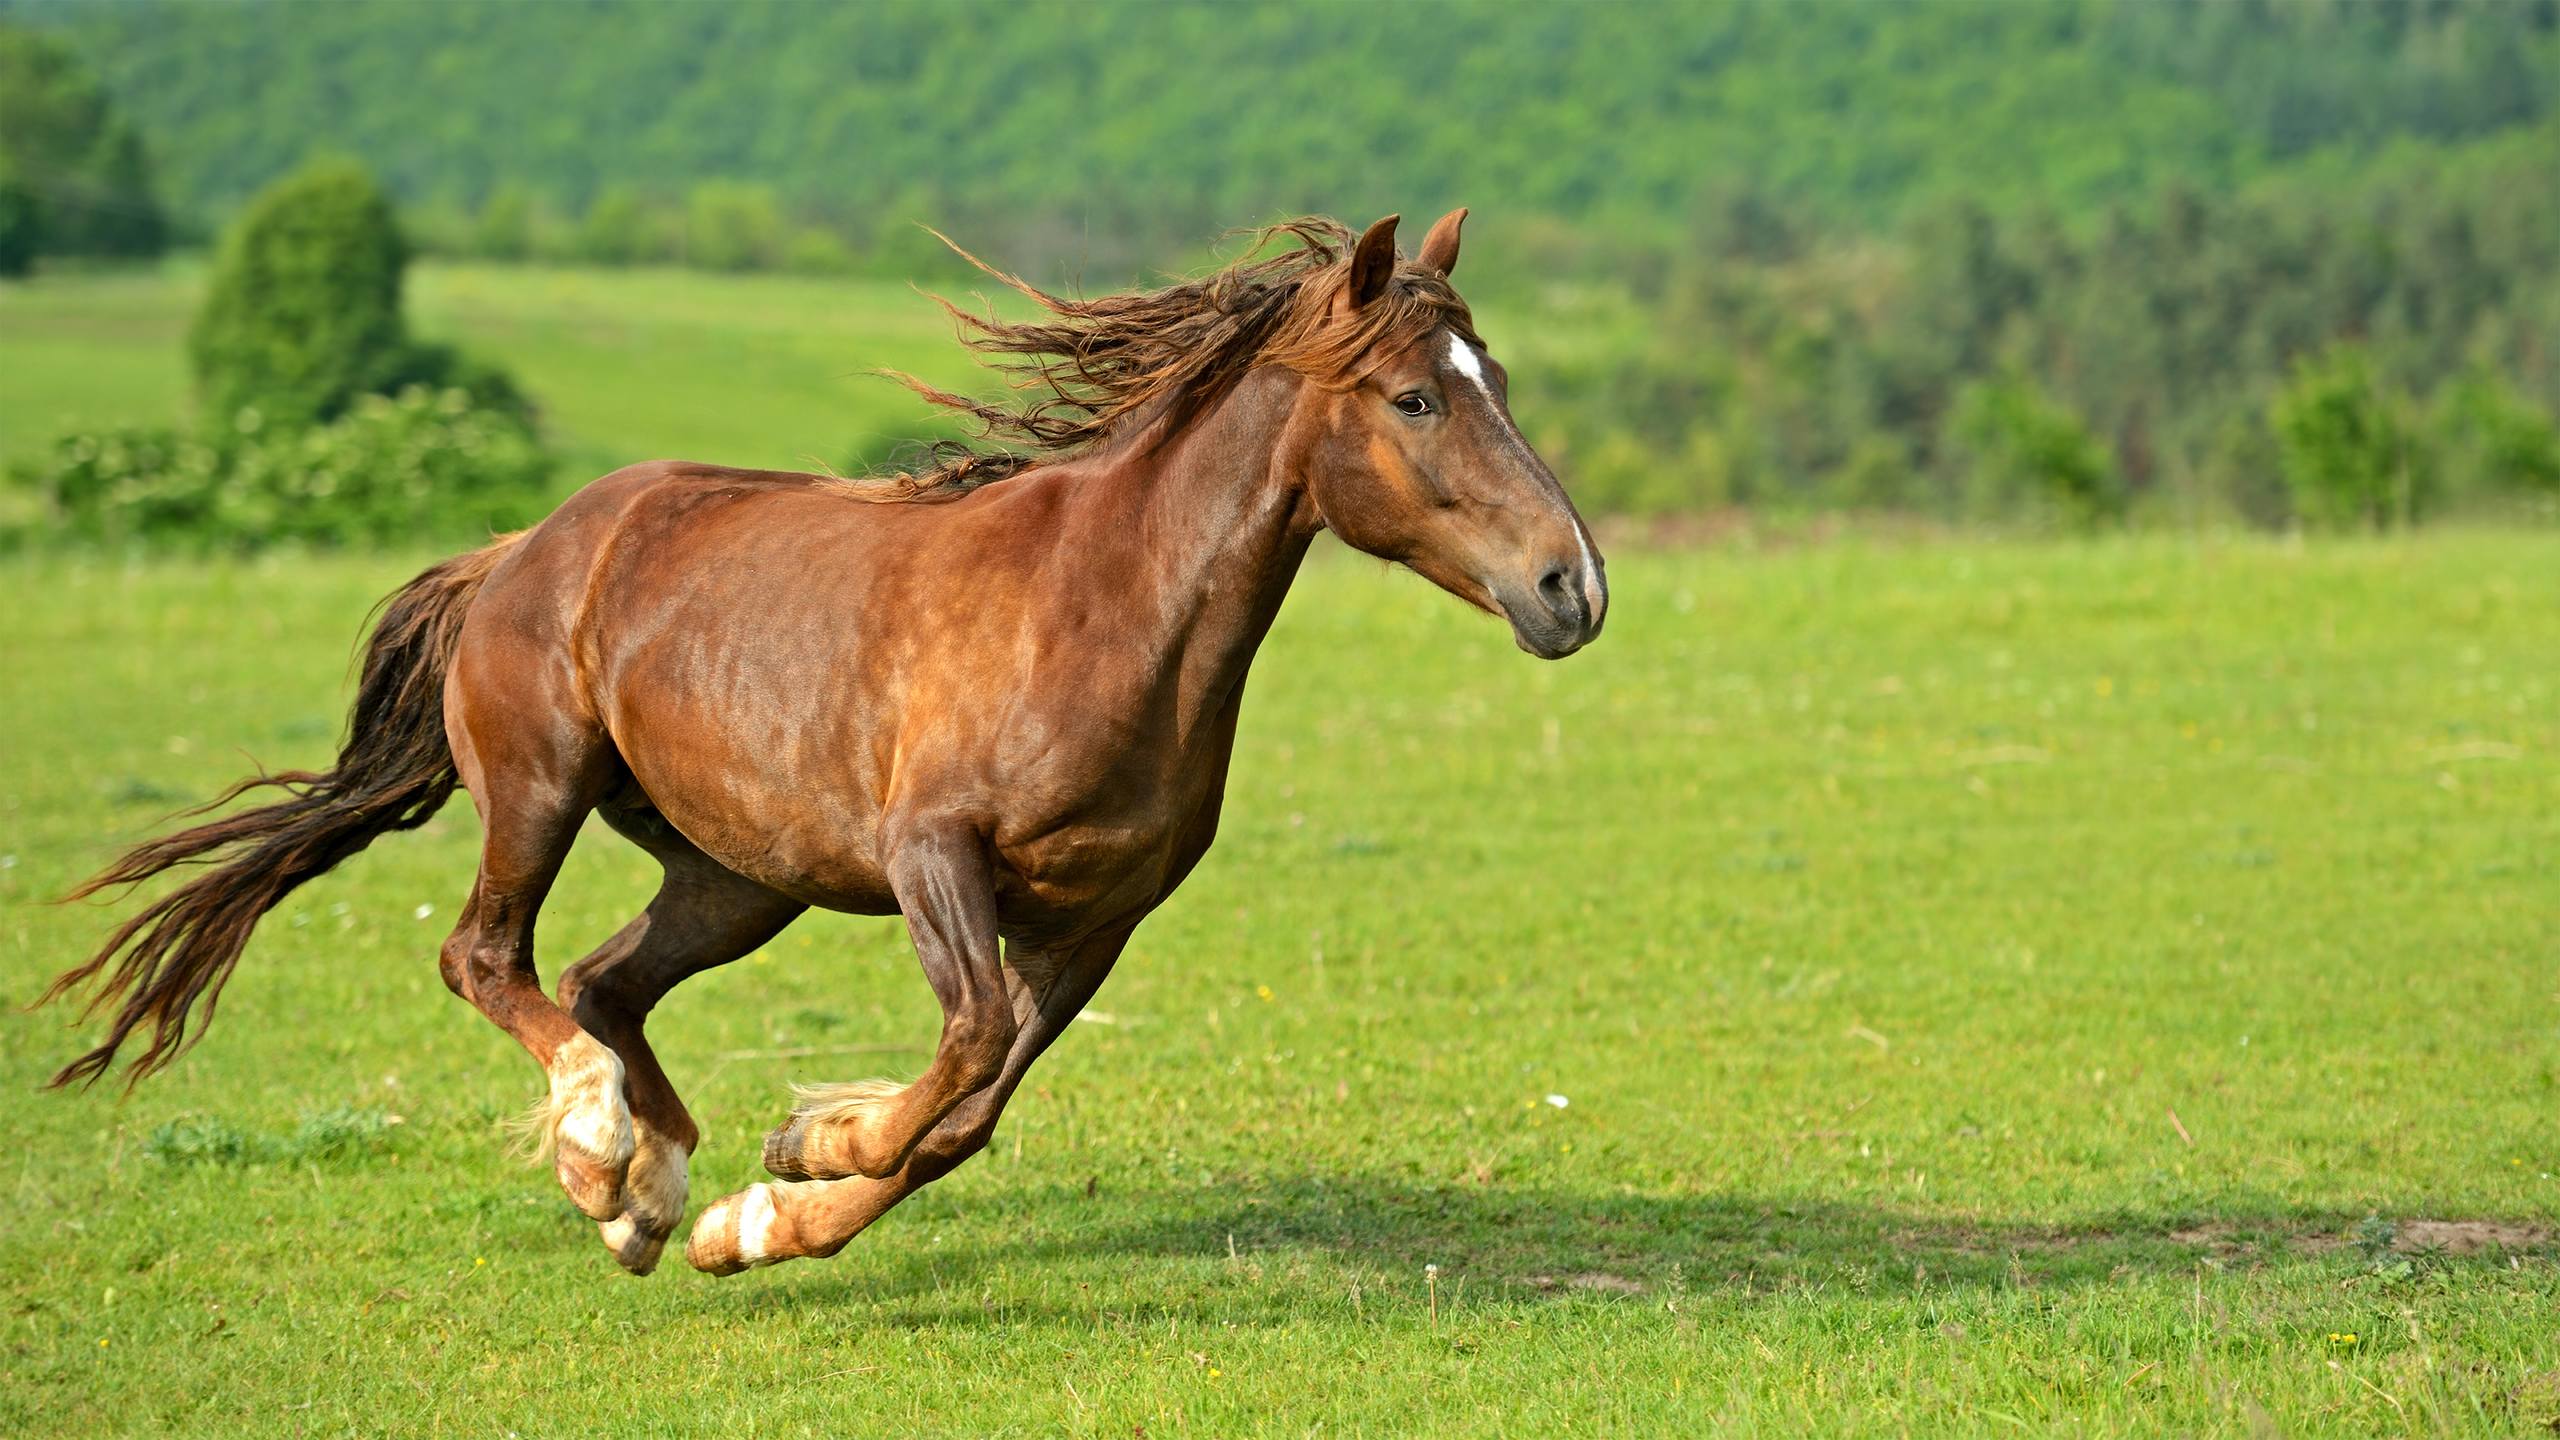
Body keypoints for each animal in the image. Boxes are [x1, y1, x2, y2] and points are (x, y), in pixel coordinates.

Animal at [45, 210, 1597, 1265]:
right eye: (1414, 396)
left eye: (1498, 379)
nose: (1571, 587)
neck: (1106, 611)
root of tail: (518, 551)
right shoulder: (933, 857)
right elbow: (964, 1052)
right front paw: (803, 1150)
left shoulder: (1097, 921)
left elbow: (970, 1114)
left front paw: (759, 1210)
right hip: (542, 791)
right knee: (488, 958)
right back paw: (600, 1152)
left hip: (739, 877)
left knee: (605, 983)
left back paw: (650, 1196)